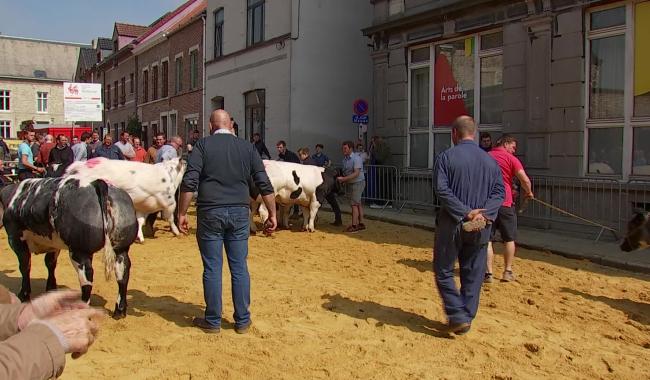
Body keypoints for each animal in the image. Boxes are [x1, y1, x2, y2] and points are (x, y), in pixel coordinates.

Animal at [0, 177, 138, 318]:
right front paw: (51, 289)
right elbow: (50, 264)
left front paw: (23, 295)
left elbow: (25, 267)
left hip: (79, 252)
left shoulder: (16, 239)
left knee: (87, 278)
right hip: (121, 249)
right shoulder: (53, 245)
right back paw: (119, 310)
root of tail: (97, 183)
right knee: (122, 274)